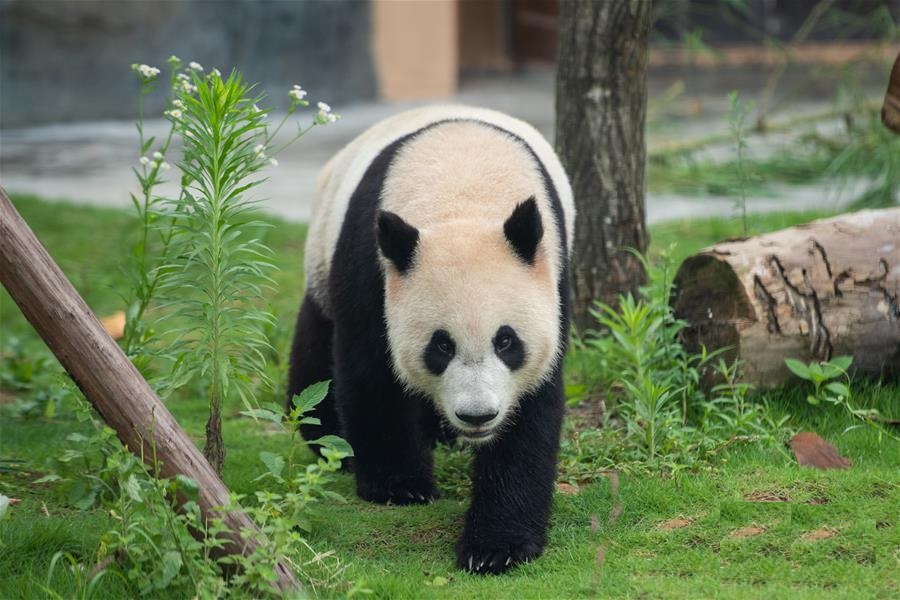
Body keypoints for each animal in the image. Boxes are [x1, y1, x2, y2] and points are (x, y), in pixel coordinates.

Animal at [286, 105, 576, 576]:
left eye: (506, 342)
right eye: (441, 346)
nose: (477, 416)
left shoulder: (553, 279)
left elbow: (532, 405)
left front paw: (496, 546)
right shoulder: (371, 263)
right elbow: (371, 369)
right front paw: (398, 485)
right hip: (321, 255)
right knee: (315, 356)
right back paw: (330, 436)